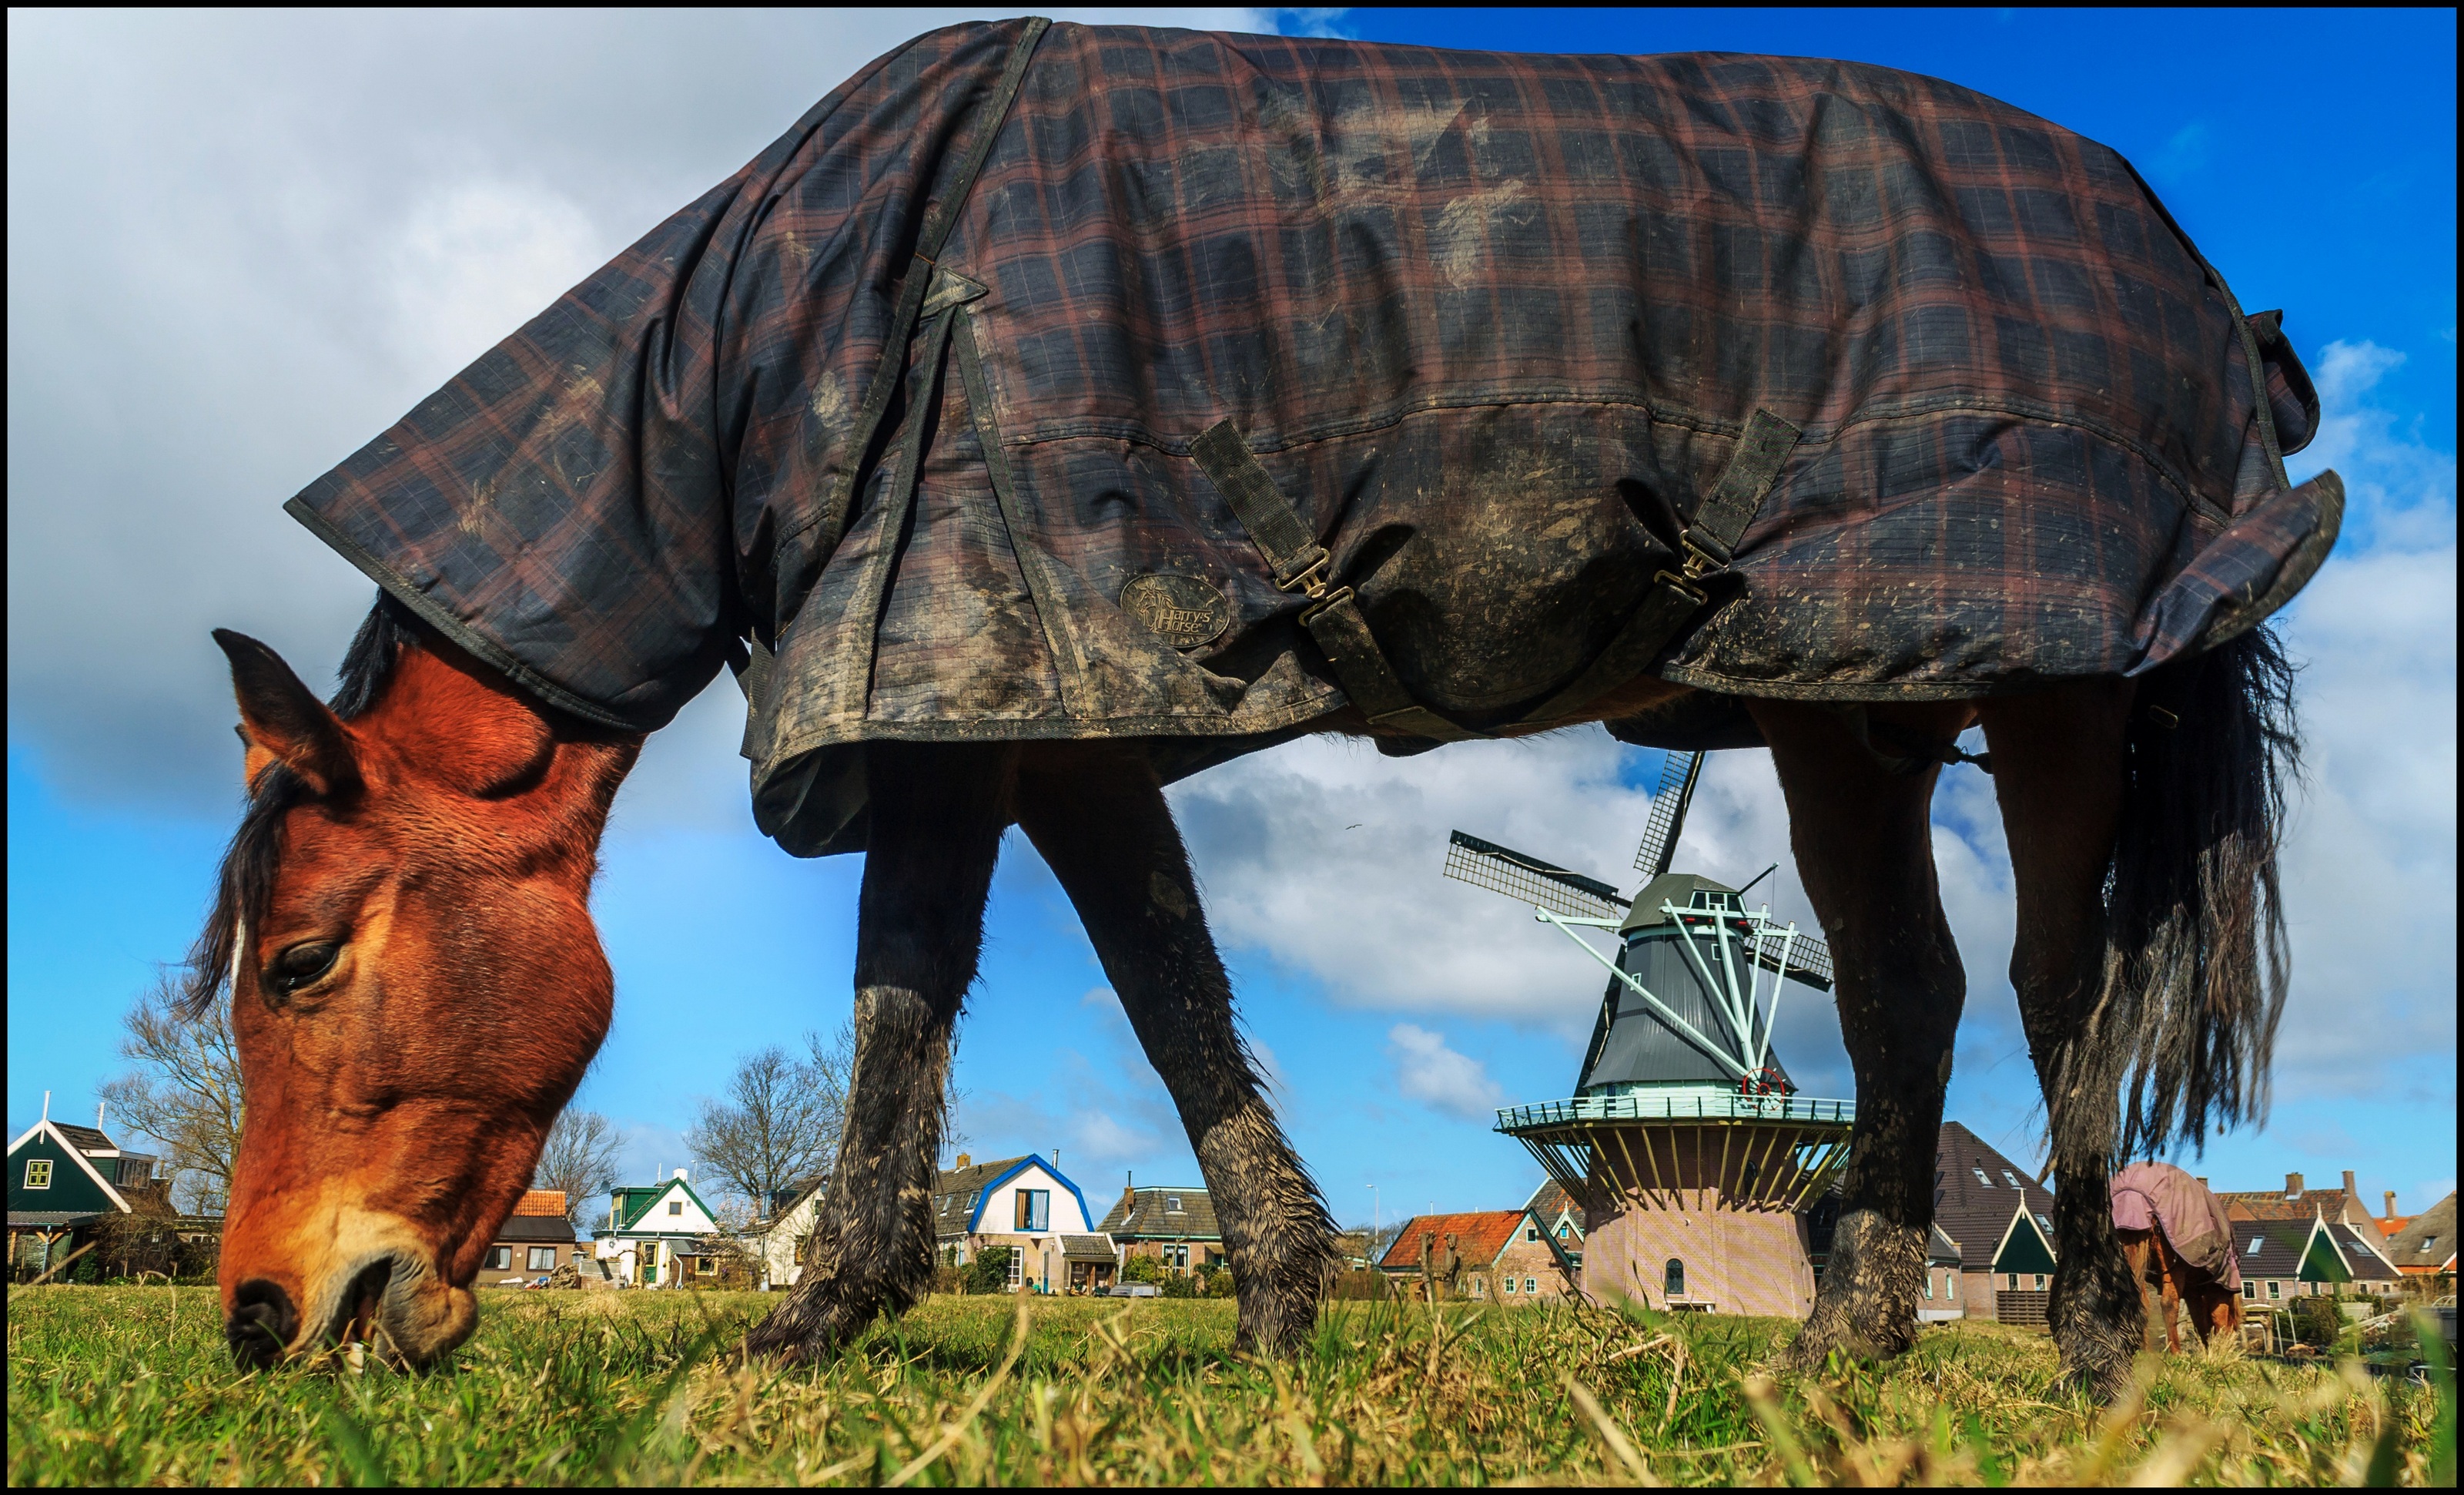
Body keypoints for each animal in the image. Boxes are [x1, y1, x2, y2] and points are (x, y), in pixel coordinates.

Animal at [190, 20, 2328, 1399]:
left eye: (299, 960)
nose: (266, 1318)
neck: (795, 343)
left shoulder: (963, 701)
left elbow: (948, 1008)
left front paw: (805, 1330)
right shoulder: (1033, 714)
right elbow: (1134, 988)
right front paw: (1273, 1303)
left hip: (2050, 698)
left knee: (2058, 994)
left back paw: (2089, 1351)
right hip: (1835, 704)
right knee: (1904, 993)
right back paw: (1841, 1346)